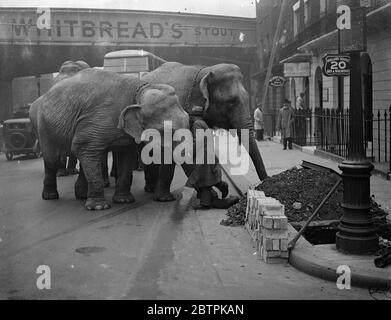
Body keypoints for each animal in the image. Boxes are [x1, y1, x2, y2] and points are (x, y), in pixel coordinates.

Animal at [29, 68, 189, 210]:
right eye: (164, 131)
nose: (168, 199)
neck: (139, 91)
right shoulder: (98, 121)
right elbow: (87, 148)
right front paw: (99, 207)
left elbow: (126, 155)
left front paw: (124, 201)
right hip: (44, 127)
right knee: (53, 160)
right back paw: (50, 196)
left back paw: (81, 196)